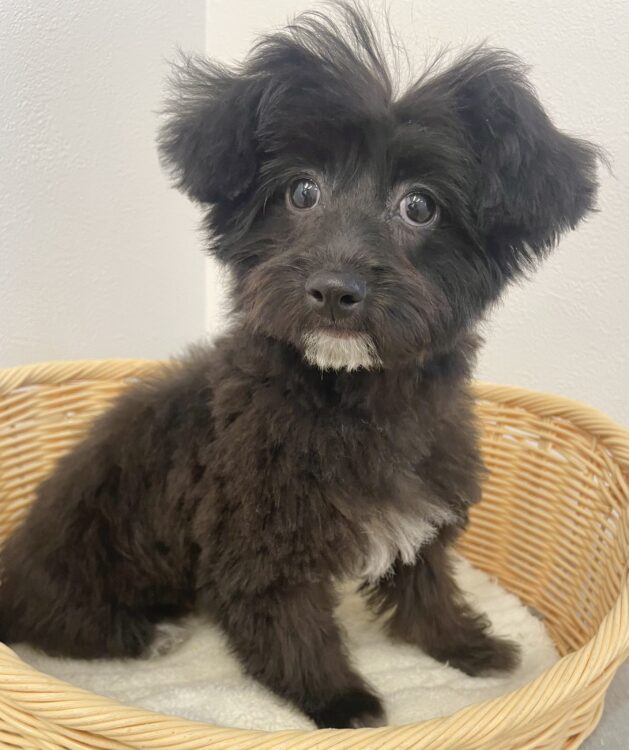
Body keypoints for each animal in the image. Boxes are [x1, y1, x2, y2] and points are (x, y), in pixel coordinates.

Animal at [0, 3, 599, 729]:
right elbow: (290, 628)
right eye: (302, 192)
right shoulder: (257, 542)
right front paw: (343, 703)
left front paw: (466, 645)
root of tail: (11, 564)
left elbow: (425, 583)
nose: (335, 289)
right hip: (83, 563)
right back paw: (148, 634)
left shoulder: (422, 505)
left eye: (419, 206)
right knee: (64, 623)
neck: (348, 394)